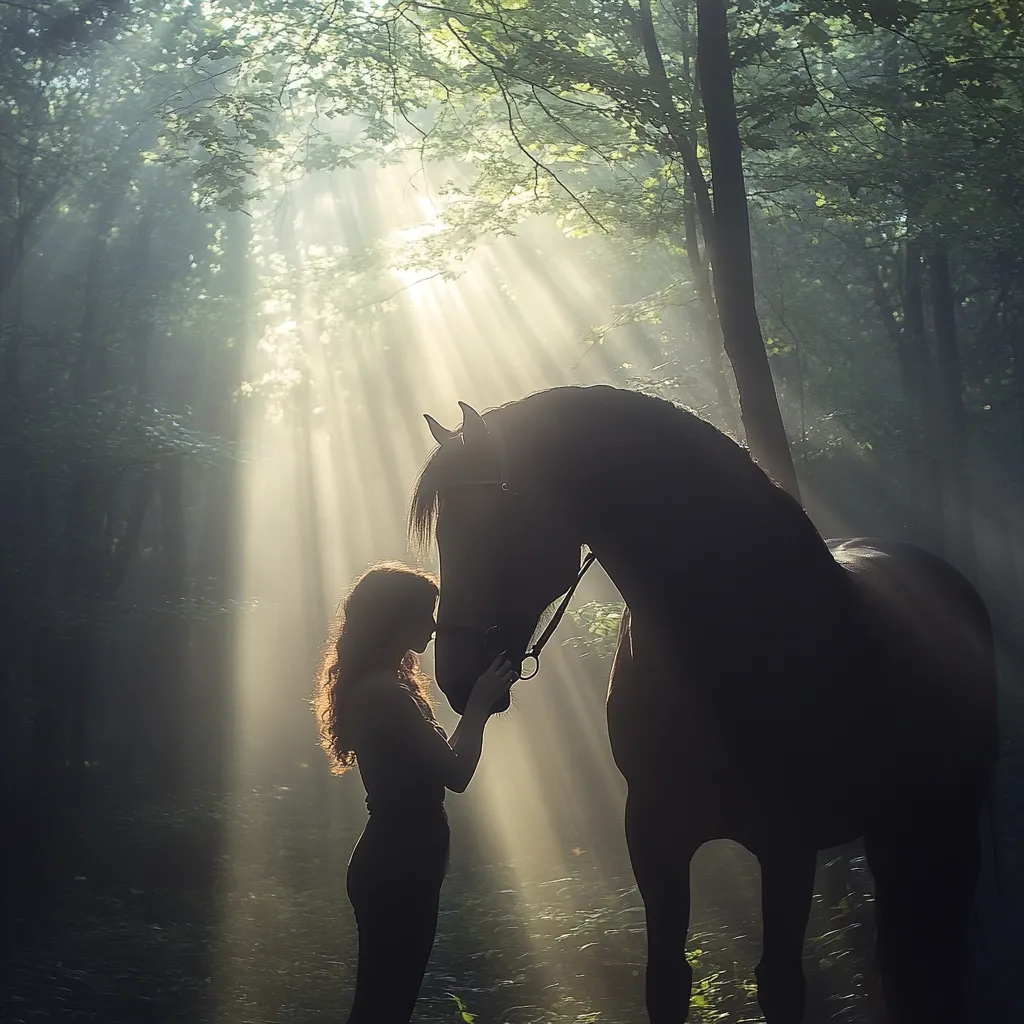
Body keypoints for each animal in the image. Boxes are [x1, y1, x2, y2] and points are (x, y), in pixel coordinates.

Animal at [409, 384, 998, 1024]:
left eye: (486, 523)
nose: (456, 678)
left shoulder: (787, 845)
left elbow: (781, 984)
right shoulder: (653, 833)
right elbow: (666, 981)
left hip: (948, 822)